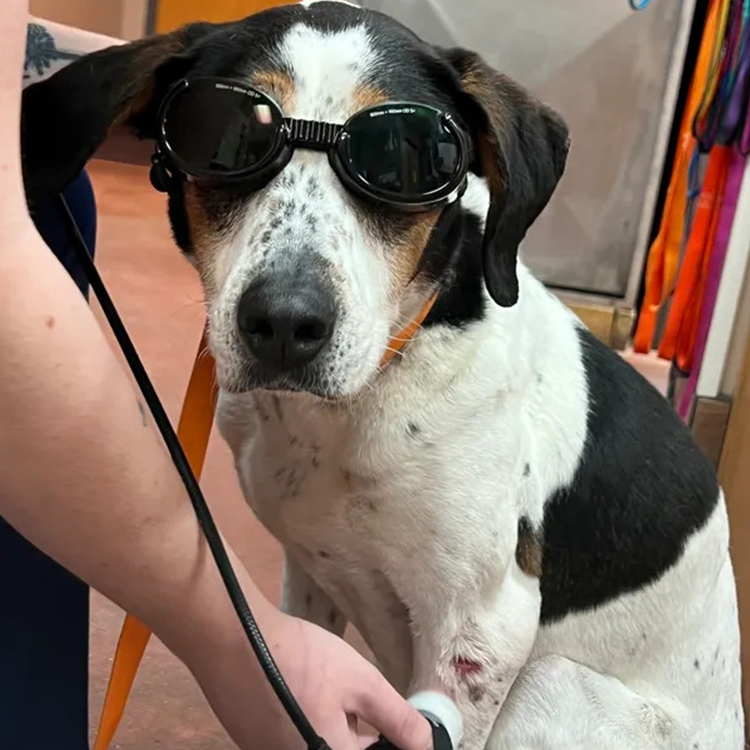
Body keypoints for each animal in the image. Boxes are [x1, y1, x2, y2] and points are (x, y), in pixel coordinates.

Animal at [22, 2, 748, 748]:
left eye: (402, 156)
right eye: (224, 135)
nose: (285, 323)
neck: (359, 398)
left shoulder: (484, 633)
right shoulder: (308, 579)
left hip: (549, 684)